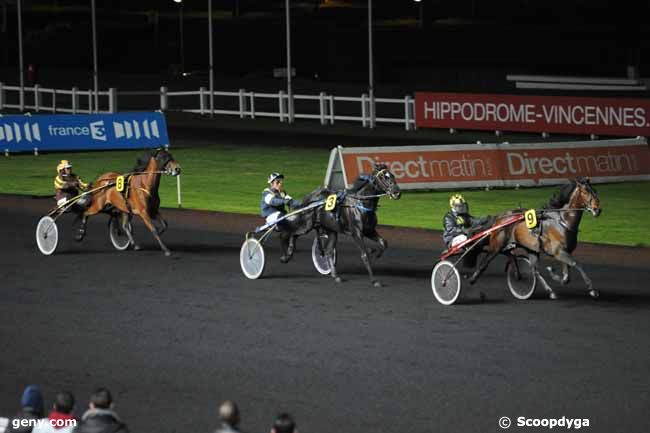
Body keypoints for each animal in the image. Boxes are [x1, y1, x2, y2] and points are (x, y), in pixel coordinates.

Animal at [468, 177, 600, 298]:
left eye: (595, 190)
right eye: (585, 191)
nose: (597, 209)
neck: (562, 221)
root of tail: (500, 217)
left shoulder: (566, 252)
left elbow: (566, 277)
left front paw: (553, 273)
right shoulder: (558, 252)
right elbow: (576, 264)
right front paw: (592, 289)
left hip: (531, 249)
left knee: (533, 270)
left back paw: (549, 291)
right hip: (496, 246)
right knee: (485, 261)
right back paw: (472, 279)